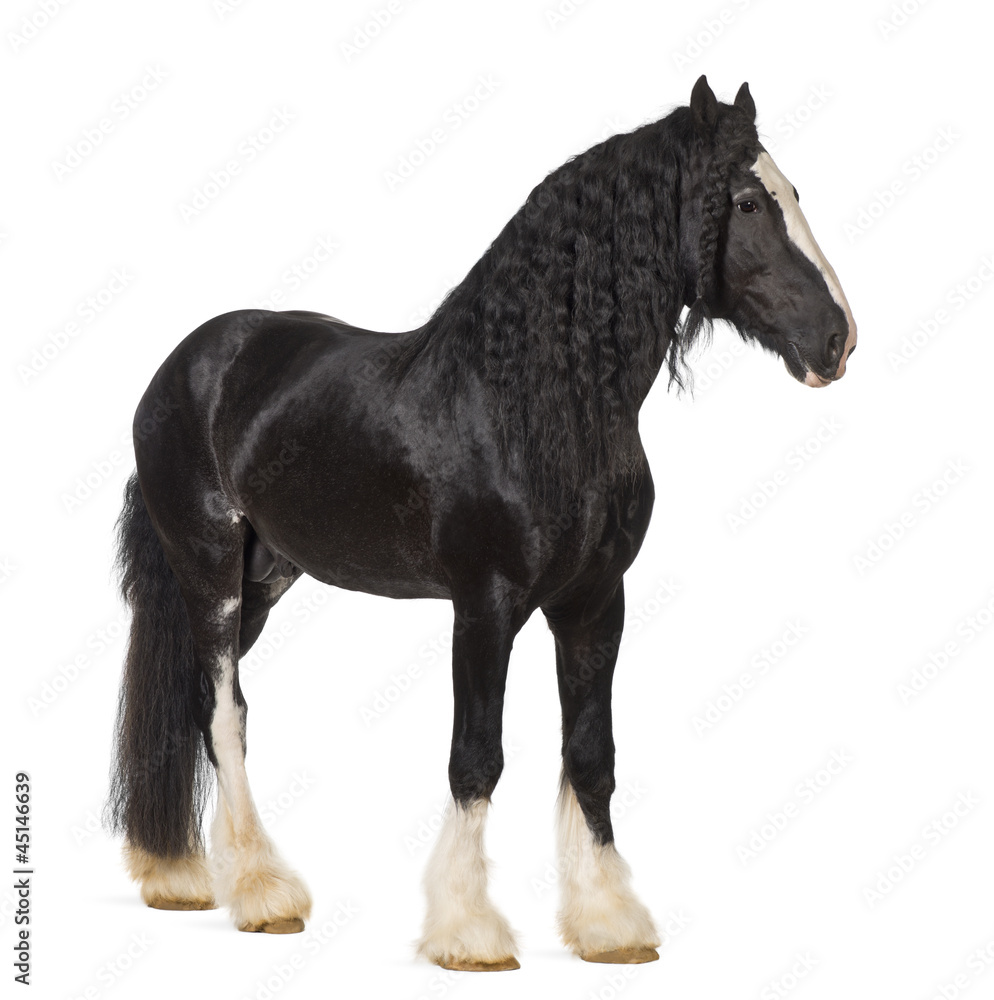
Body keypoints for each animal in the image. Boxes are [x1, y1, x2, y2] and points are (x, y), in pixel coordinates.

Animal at [106, 75, 856, 971]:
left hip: (265, 577)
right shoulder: (485, 606)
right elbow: (477, 757)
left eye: (794, 193)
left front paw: (609, 924)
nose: (838, 340)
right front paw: (468, 931)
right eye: (746, 201)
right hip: (209, 567)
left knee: (193, 703)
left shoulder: (595, 604)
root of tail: (185, 362)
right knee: (225, 713)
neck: (530, 404)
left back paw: (176, 877)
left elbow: (591, 756)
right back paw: (260, 893)